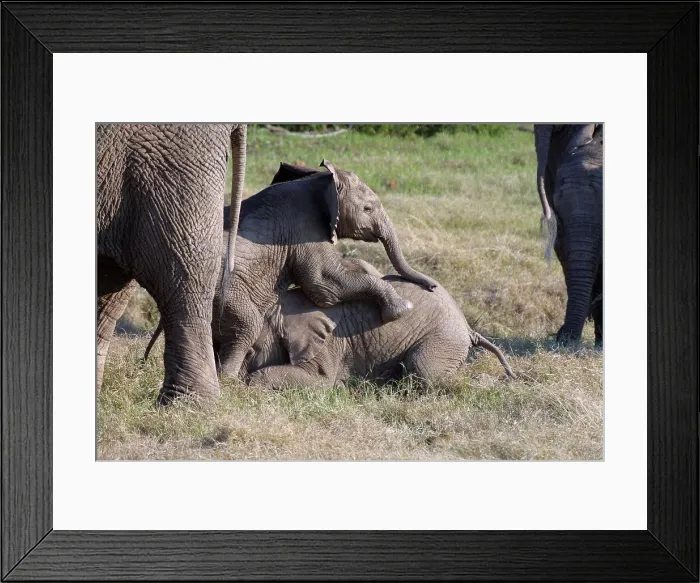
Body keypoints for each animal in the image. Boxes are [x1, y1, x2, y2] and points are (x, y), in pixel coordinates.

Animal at [241, 258, 514, 389]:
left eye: (251, 352)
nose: (234, 381)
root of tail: (468, 327)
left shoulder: (327, 345)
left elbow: (320, 381)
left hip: (443, 339)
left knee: (423, 369)